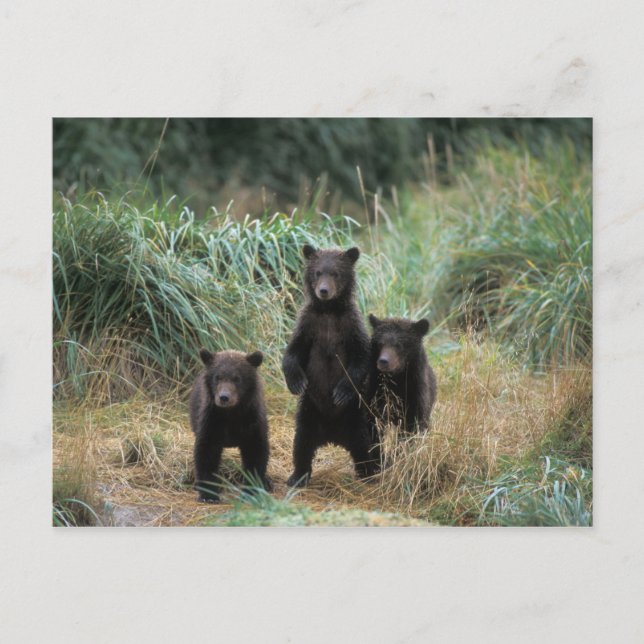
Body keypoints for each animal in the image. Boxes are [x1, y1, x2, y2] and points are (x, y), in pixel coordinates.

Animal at [189, 348, 271, 503]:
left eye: (237, 378)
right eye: (217, 377)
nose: (224, 397)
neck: (232, 414)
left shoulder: (252, 422)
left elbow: (255, 452)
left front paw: (251, 489)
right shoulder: (212, 420)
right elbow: (207, 452)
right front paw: (209, 494)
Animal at [282, 244, 379, 487]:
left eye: (335, 273)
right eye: (318, 272)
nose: (324, 291)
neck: (329, 310)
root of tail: (332, 436)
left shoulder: (350, 326)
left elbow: (360, 358)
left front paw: (341, 392)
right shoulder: (309, 325)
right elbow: (293, 352)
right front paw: (296, 382)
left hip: (356, 416)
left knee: (364, 445)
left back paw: (369, 474)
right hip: (309, 412)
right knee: (302, 443)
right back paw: (297, 476)